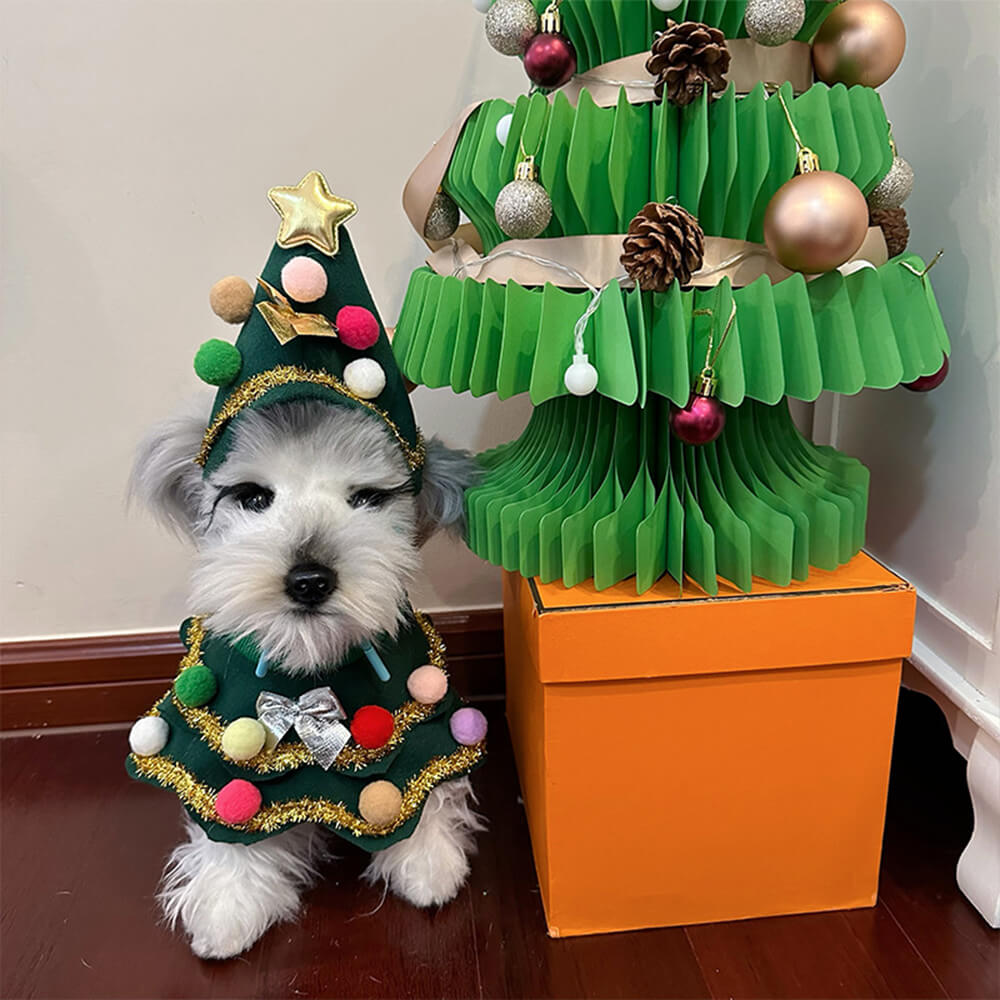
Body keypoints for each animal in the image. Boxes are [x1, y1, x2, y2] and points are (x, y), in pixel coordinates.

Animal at [127, 400, 486, 960]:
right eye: (253, 497)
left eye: (368, 497)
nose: (309, 581)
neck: (308, 668)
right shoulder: (216, 758)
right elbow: (229, 823)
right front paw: (227, 904)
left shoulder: (425, 722)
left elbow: (425, 780)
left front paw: (427, 860)